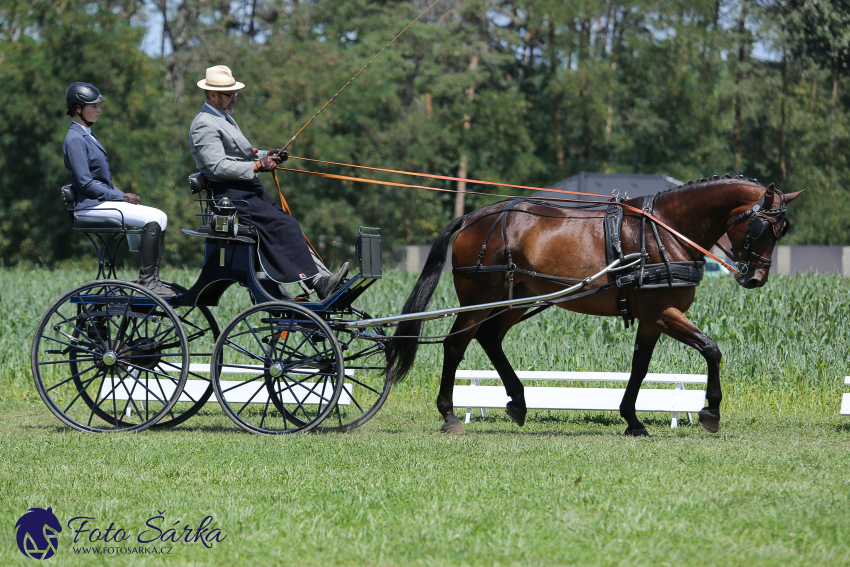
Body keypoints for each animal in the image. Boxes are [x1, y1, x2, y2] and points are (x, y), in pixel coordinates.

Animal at [386, 175, 800, 438]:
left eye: (782, 230)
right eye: (762, 228)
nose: (755, 278)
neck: (664, 231)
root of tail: (474, 216)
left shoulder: (651, 319)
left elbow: (640, 368)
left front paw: (632, 419)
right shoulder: (662, 313)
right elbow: (711, 348)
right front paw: (710, 411)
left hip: (515, 299)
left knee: (489, 338)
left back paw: (518, 401)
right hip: (479, 299)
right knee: (455, 344)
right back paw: (449, 414)